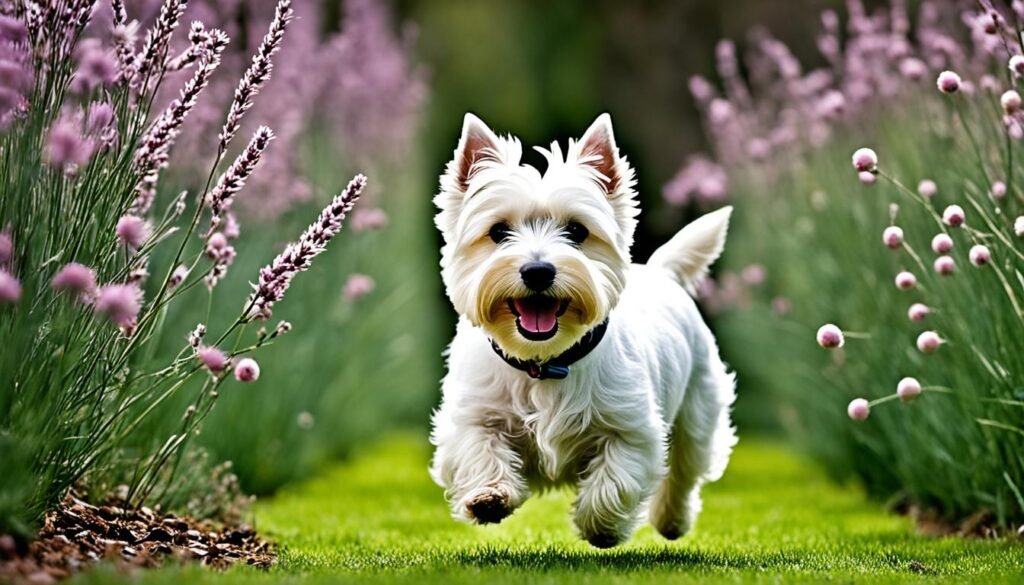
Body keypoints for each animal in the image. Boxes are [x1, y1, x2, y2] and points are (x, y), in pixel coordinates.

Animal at [430, 114, 737, 549]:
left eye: (577, 231)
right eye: (498, 231)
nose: (538, 271)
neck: (544, 362)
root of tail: (660, 271)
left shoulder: (632, 426)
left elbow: (615, 478)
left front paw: (601, 527)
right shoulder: (473, 414)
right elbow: (479, 448)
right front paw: (488, 497)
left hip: (698, 409)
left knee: (683, 470)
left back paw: (671, 520)